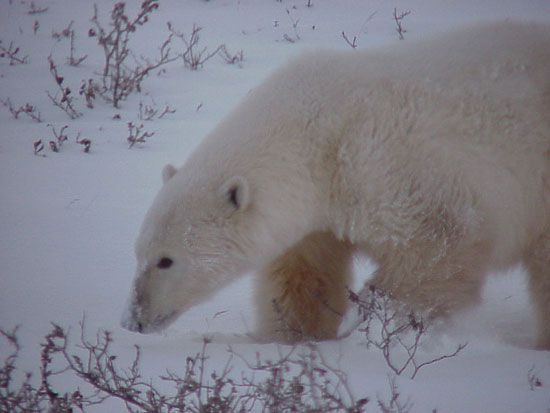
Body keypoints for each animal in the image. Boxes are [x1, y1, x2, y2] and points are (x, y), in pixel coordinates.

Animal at [123, 22, 550, 348]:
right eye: (139, 252)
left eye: (166, 260)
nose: (134, 320)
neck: (320, 132)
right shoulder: (315, 212)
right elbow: (303, 276)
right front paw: (289, 337)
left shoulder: (394, 169)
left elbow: (437, 250)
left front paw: (388, 323)